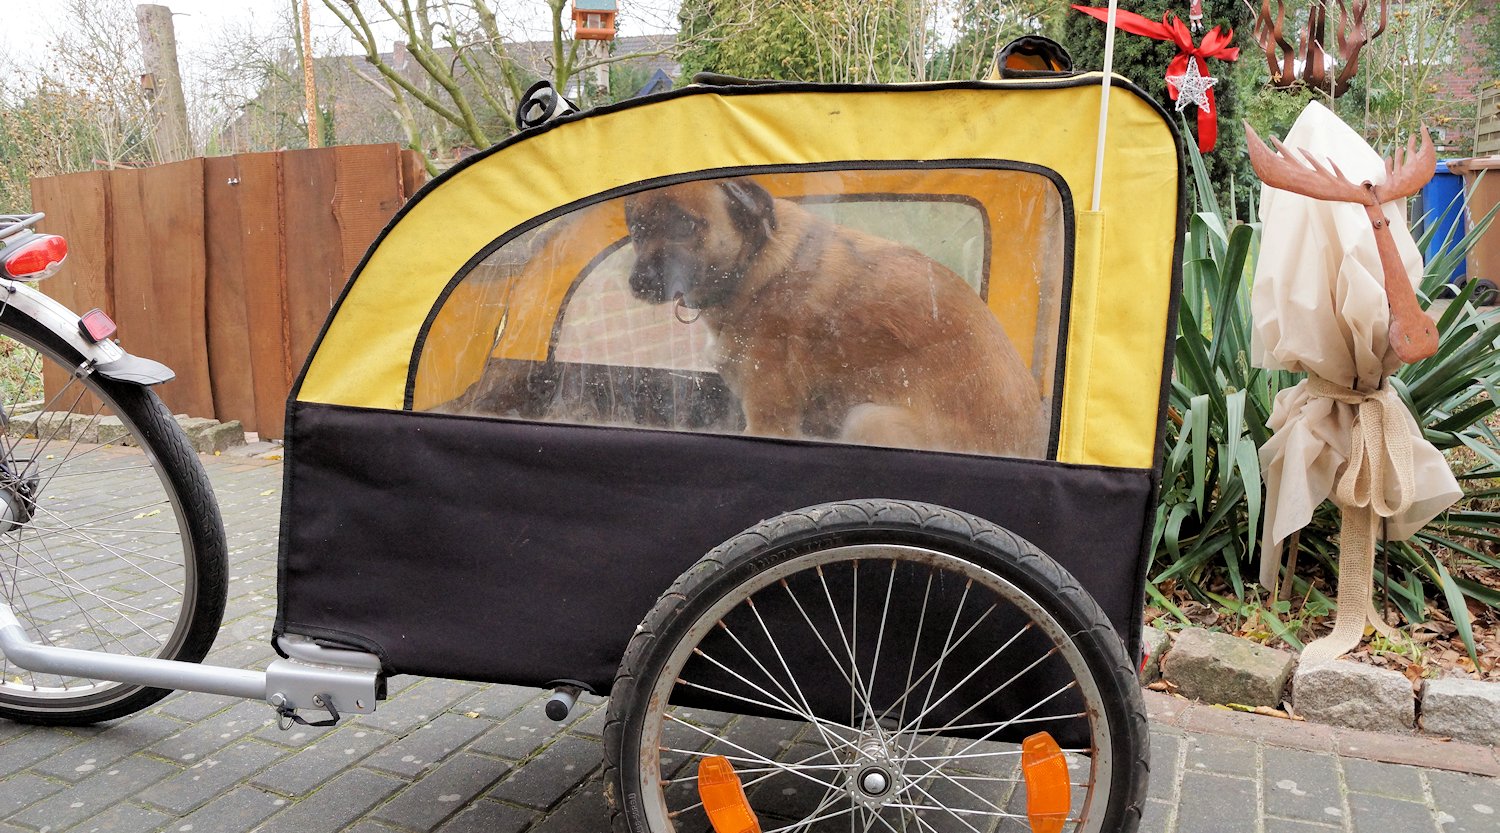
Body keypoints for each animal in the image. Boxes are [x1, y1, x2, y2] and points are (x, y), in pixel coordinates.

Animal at [621, 178, 1044, 459]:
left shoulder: (769, 421)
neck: (754, 264)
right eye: (636, 228)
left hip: (867, 419)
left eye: (685, 224)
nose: (637, 283)